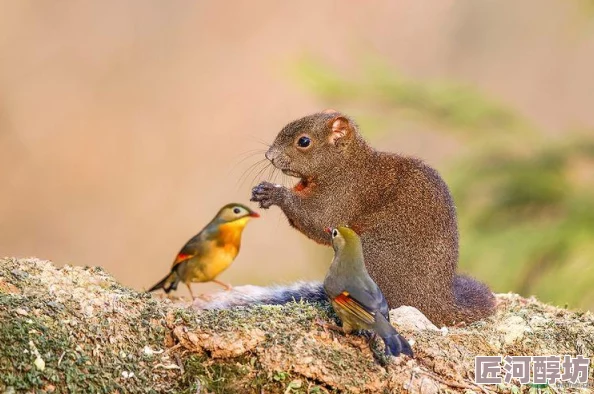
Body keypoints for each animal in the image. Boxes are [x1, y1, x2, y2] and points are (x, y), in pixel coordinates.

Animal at [206, 110, 492, 326]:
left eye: (304, 141)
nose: (269, 156)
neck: (345, 164)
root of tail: (436, 302)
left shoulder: (343, 195)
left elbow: (318, 220)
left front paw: (274, 193)